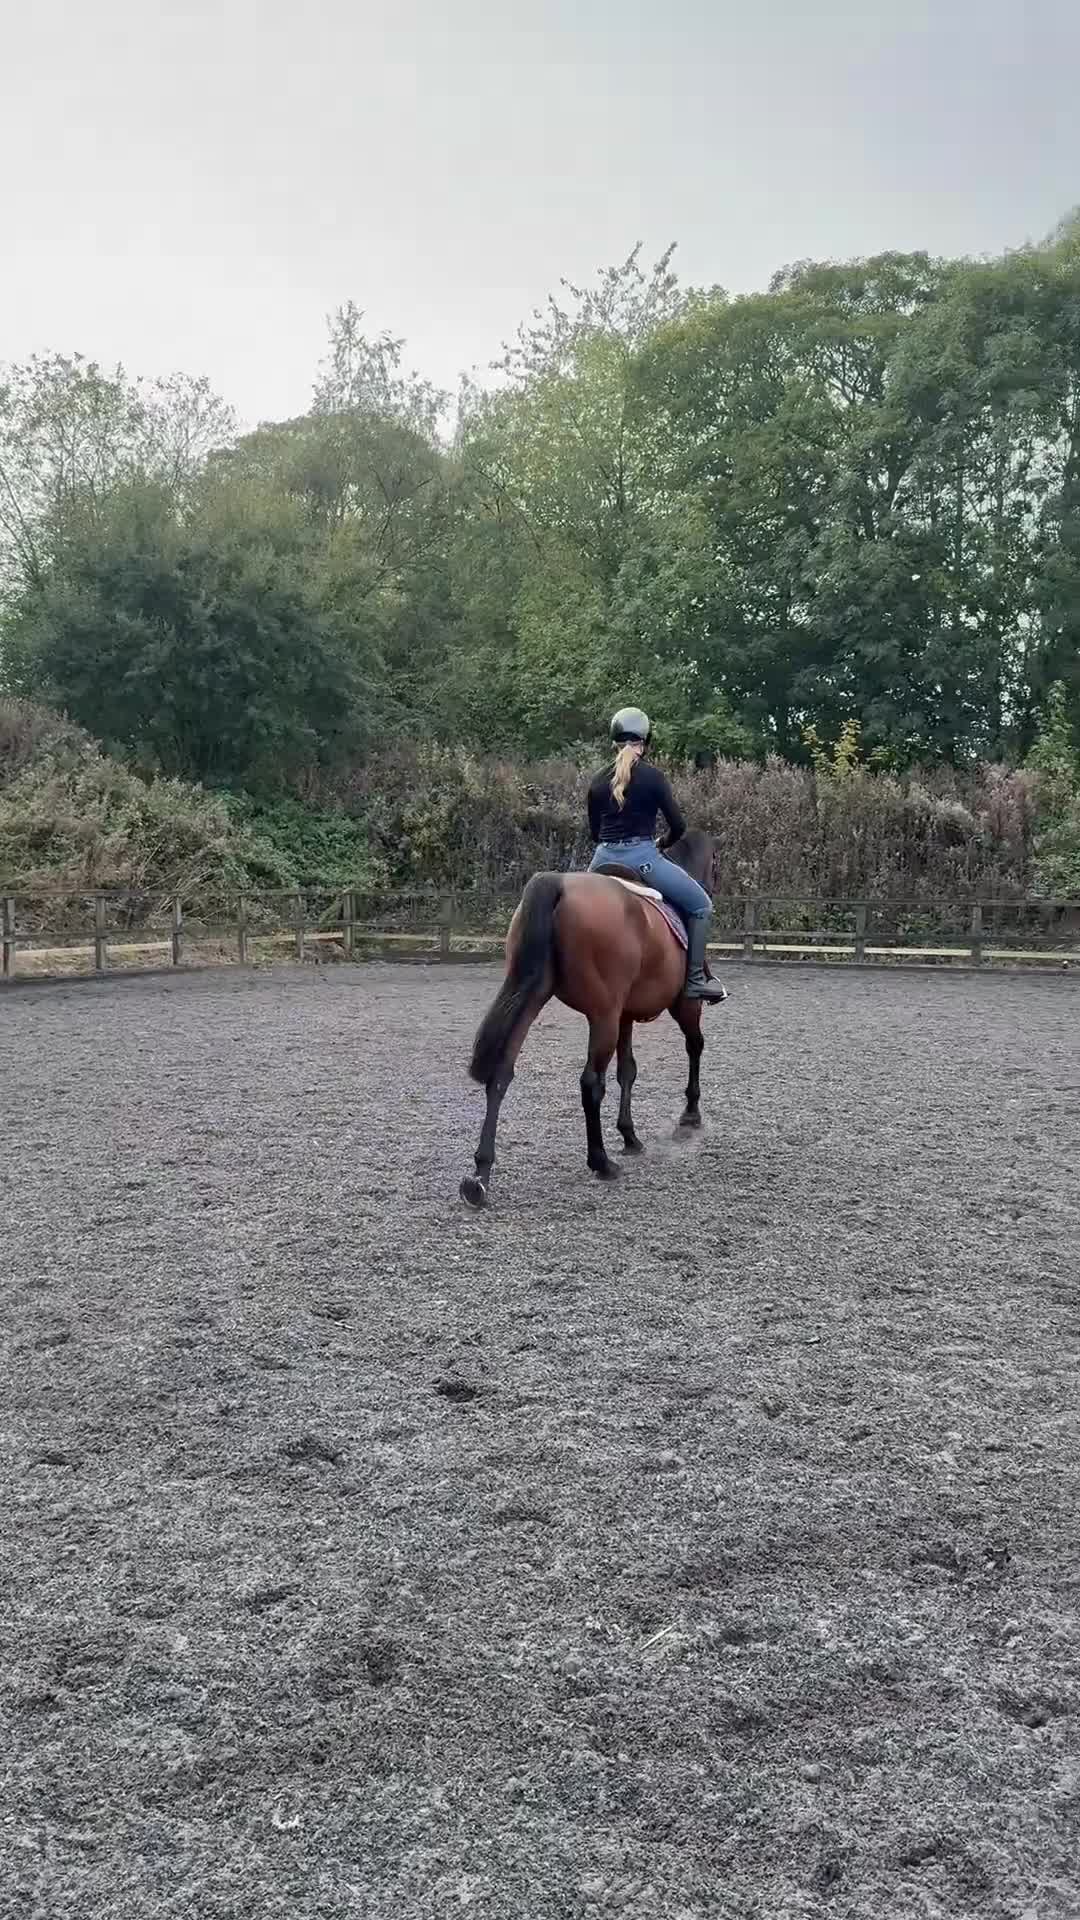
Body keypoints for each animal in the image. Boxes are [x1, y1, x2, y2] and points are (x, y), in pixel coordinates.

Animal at [460, 831, 724, 1207]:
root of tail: (558, 884)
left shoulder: (626, 1015)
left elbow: (628, 1070)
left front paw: (630, 1136)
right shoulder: (684, 1005)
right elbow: (694, 1047)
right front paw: (690, 1115)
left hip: (534, 997)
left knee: (500, 1075)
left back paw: (479, 1177)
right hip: (603, 1016)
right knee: (590, 1083)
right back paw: (601, 1161)